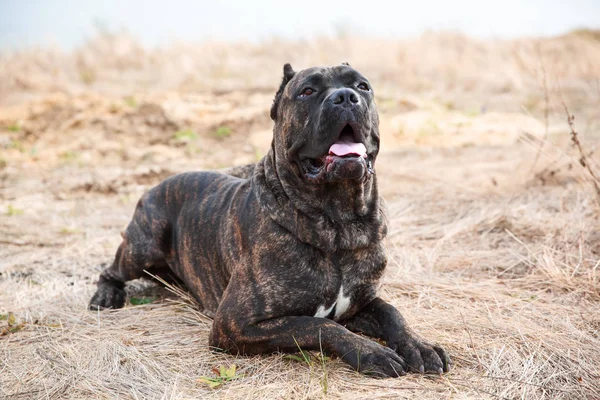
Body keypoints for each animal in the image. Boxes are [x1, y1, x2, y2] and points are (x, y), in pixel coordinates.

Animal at [89, 64, 450, 376]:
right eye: (307, 91)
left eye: (363, 86)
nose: (346, 96)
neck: (338, 222)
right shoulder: (235, 324)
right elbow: (319, 324)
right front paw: (371, 352)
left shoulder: (363, 301)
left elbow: (392, 313)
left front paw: (419, 346)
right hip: (144, 245)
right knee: (111, 269)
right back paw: (106, 297)